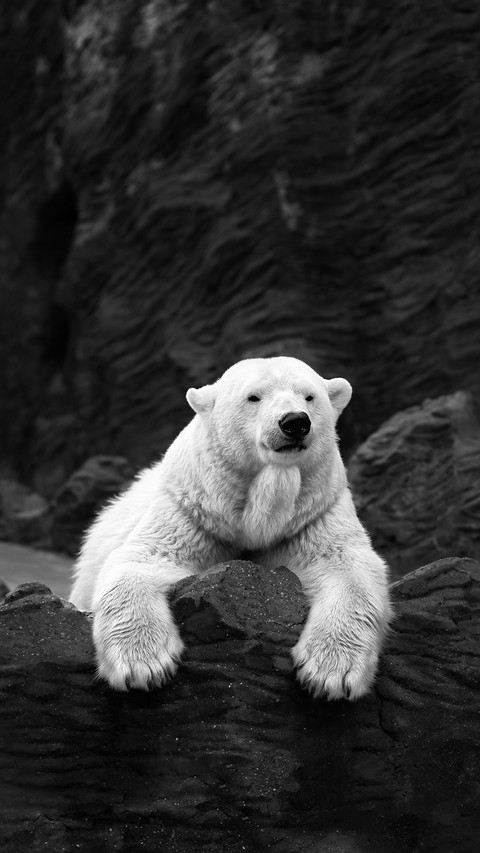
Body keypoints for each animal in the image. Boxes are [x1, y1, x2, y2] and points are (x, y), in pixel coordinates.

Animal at [70, 356, 391, 700]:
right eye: (254, 397)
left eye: (309, 396)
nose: (295, 422)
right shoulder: (193, 512)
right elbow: (142, 559)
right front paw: (142, 664)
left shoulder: (315, 514)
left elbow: (346, 567)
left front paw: (332, 673)